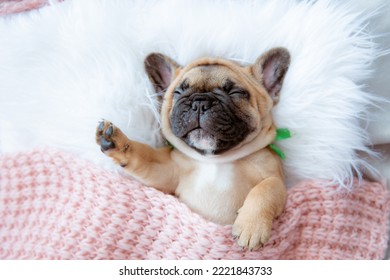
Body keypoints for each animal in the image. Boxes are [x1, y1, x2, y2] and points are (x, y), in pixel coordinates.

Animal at [95, 48, 290, 249]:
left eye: (235, 92)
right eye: (178, 91)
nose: (200, 102)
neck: (216, 159)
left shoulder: (276, 177)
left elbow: (267, 189)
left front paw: (252, 227)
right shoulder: (167, 169)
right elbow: (144, 156)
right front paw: (118, 143)